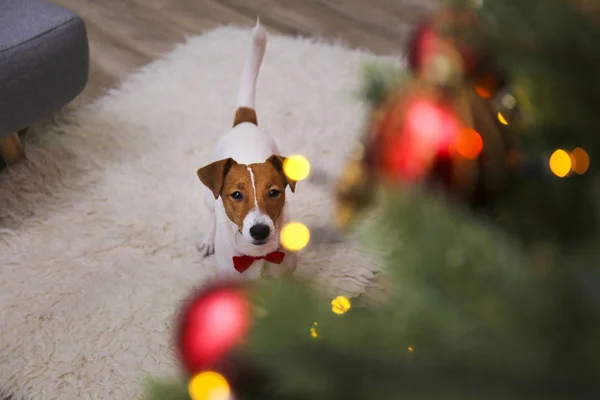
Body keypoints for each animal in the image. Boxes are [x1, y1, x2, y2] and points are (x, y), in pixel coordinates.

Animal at [197, 18, 298, 282]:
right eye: (236, 195)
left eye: (274, 192)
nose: (260, 230)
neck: (258, 256)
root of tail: (245, 122)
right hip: (208, 197)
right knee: (211, 215)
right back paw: (208, 239)